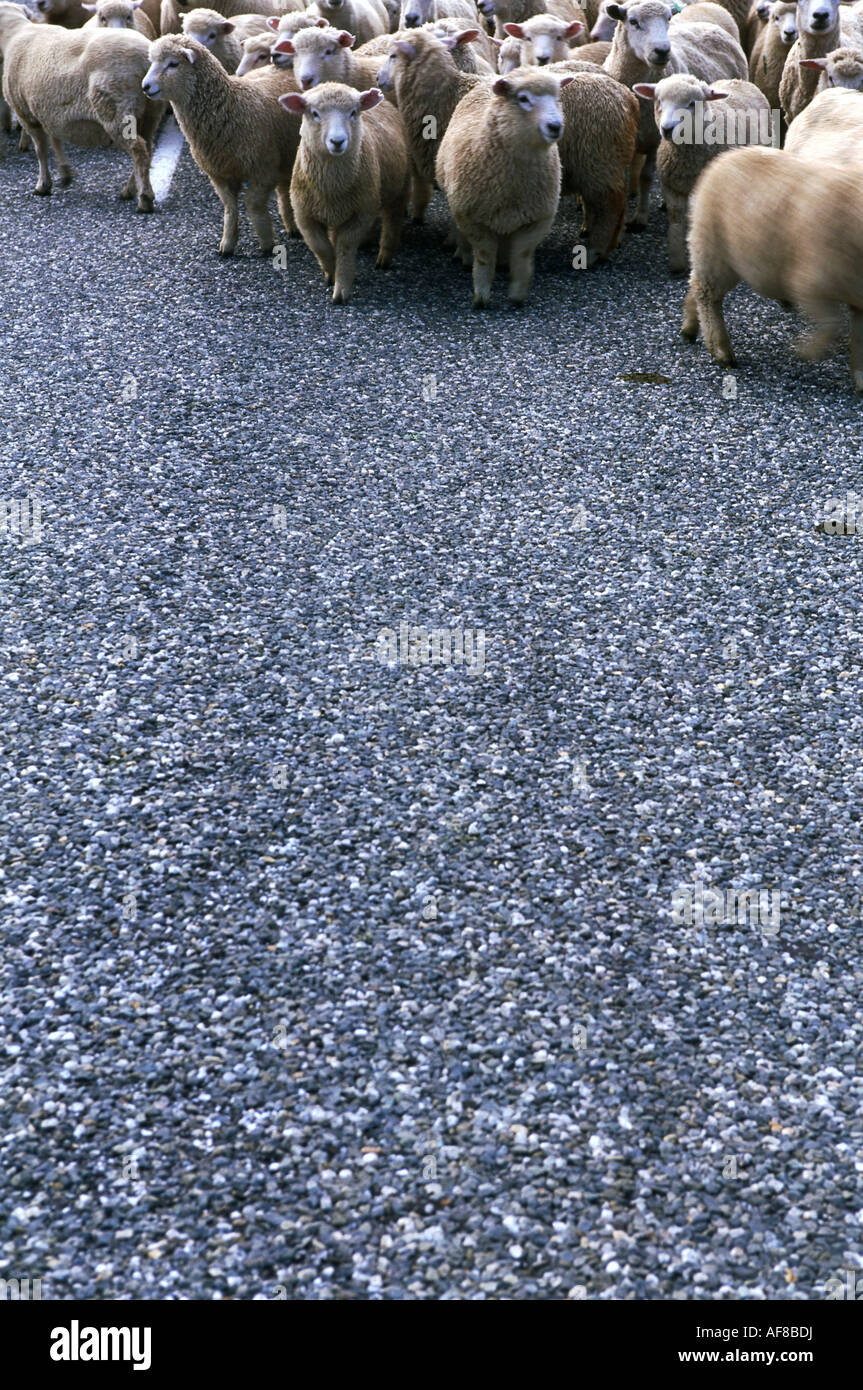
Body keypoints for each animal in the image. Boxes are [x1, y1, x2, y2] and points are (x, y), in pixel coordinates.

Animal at [277, 79, 408, 301]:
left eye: (353, 112)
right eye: (314, 113)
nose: (337, 141)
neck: (332, 187)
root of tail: (381, 100)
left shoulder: (361, 214)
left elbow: (345, 247)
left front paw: (342, 289)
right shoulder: (304, 217)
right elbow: (322, 248)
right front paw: (331, 274)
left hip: (400, 189)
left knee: (393, 220)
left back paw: (384, 256)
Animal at [600, 0, 744, 227]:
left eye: (668, 19)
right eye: (633, 21)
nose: (662, 50)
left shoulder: (655, 139)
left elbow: (647, 177)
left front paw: (640, 217)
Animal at [680, 144, 861, 391]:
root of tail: (723, 157)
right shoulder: (809, 285)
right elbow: (832, 327)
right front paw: (805, 352)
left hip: (714, 254)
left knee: (696, 285)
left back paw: (690, 328)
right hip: (713, 247)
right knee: (706, 294)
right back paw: (721, 351)